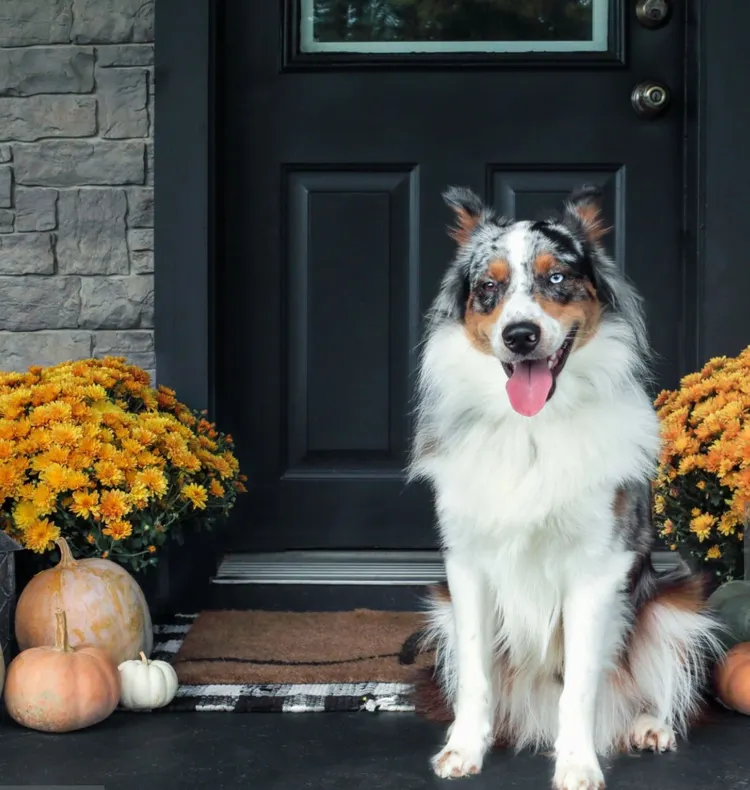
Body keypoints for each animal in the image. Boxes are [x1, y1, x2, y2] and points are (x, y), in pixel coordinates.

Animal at [408, 187, 724, 790]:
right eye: (488, 288)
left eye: (556, 278)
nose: (520, 336)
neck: (533, 428)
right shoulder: (465, 566)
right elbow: (477, 675)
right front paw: (465, 749)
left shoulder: (597, 568)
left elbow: (580, 683)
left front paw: (577, 763)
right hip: (441, 608)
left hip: (674, 605)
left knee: (645, 688)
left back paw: (646, 726)